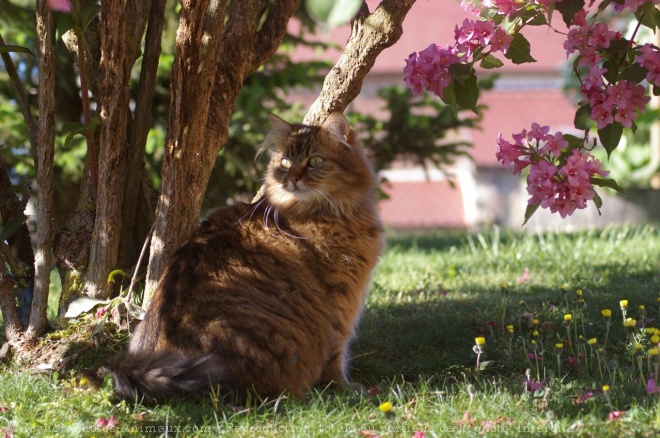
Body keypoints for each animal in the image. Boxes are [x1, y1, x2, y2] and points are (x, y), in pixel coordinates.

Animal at [90, 112, 384, 400]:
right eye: (286, 162)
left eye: (315, 161)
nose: (292, 179)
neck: (325, 211)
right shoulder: (340, 300)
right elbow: (336, 355)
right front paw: (346, 389)